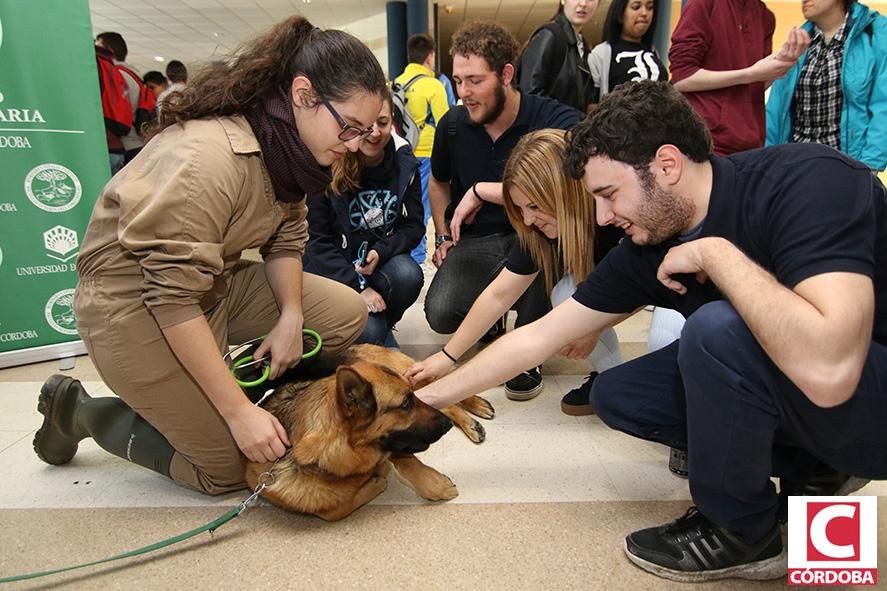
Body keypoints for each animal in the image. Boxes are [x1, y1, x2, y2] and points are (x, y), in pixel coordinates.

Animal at [245, 344, 492, 520]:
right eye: (405, 404)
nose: (446, 425)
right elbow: (336, 511)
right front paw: (374, 484)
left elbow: (408, 461)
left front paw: (434, 485)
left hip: (409, 375)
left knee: (446, 395)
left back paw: (473, 415)